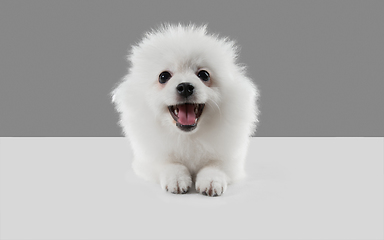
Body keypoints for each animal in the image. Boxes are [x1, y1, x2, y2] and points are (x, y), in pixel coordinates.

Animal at [112, 23, 260, 197]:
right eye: (163, 76)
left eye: (204, 75)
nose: (185, 87)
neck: (188, 137)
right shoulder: (149, 160)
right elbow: (170, 164)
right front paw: (177, 179)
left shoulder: (230, 160)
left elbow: (215, 166)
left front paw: (211, 181)